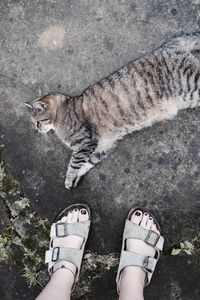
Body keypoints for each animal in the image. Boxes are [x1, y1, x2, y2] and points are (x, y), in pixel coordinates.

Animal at [25, 32, 200, 188]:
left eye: (38, 123)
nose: (37, 130)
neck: (63, 112)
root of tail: (168, 46)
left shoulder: (85, 143)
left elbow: (74, 164)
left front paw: (69, 178)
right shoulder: (103, 145)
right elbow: (89, 162)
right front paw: (76, 178)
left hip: (191, 82)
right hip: (189, 96)